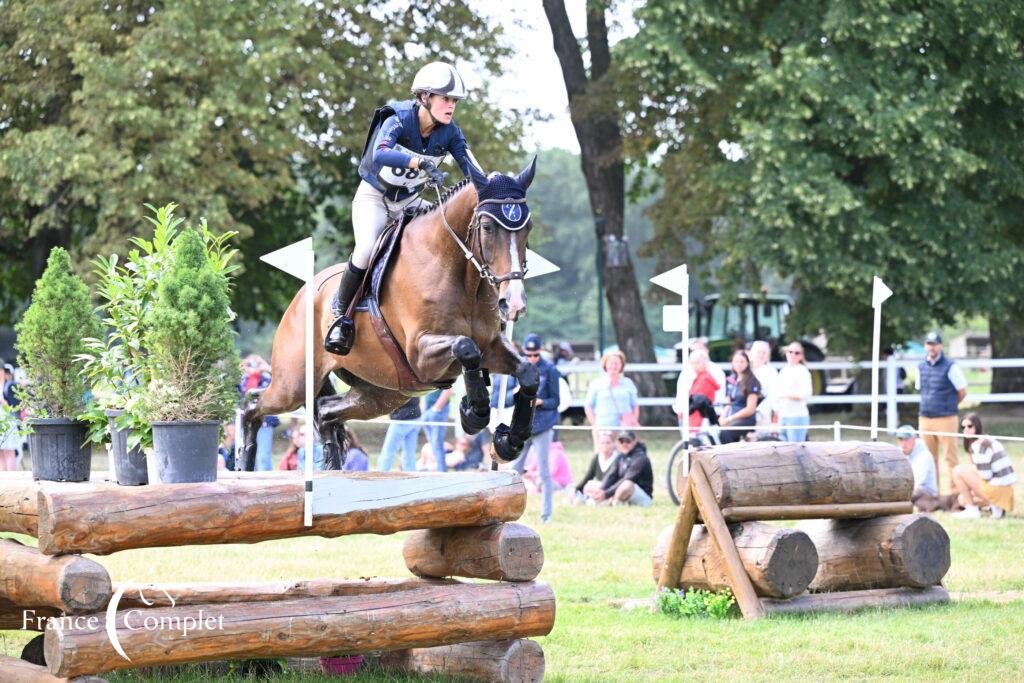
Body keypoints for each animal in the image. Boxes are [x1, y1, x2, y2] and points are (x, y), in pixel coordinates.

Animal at [240, 159, 544, 471]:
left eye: (528, 227)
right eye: (487, 227)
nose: (513, 303)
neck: (457, 272)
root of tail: (300, 296)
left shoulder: (492, 346)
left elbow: (528, 372)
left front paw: (510, 441)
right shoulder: (421, 354)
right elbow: (465, 348)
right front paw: (475, 413)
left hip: (383, 392)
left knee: (325, 413)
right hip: (293, 384)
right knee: (253, 405)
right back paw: (244, 465)